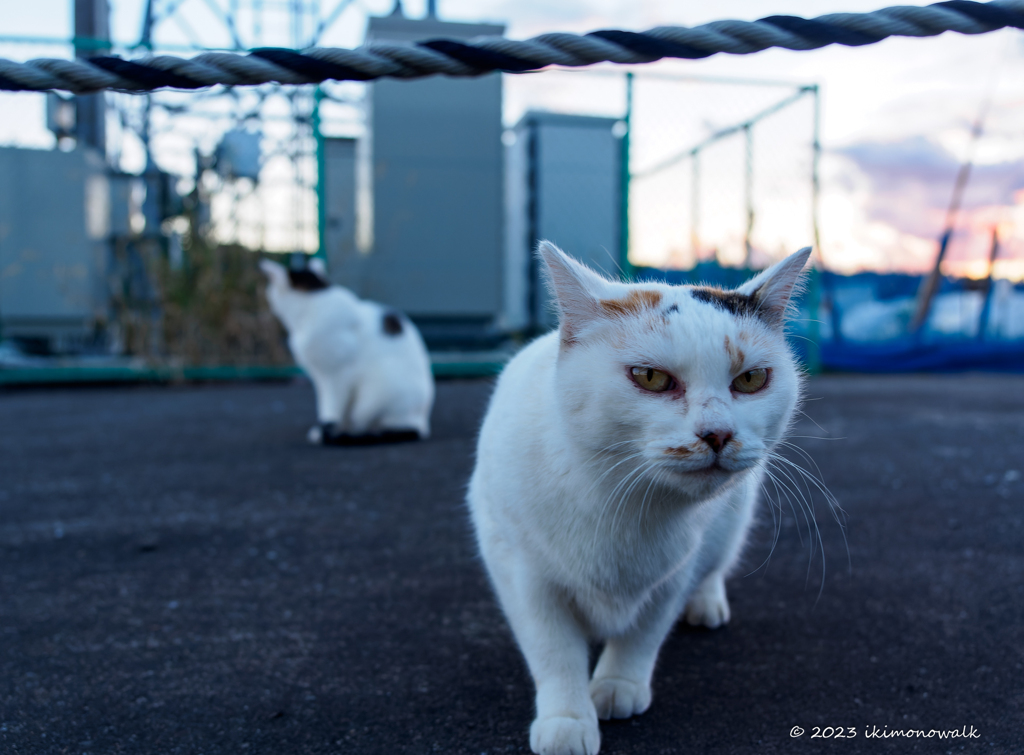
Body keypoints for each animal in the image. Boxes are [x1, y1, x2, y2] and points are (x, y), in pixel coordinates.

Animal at [260, 259, 432, 444]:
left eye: (269, 290)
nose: (267, 298)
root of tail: (422, 424)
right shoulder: (319, 377)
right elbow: (327, 406)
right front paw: (333, 428)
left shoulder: (338, 374)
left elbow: (332, 406)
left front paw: (326, 430)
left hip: (378, 390)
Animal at [468, 241, 811, 753]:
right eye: (649, 377)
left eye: (751, 380)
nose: (718, 434)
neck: (622, 503)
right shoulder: (522, 570)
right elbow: (553, 648)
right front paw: (568, 718)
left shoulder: (675, 571)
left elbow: (644, 633)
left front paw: (618, 685)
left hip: (730, 524)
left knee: (715, 566)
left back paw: (707, 603)